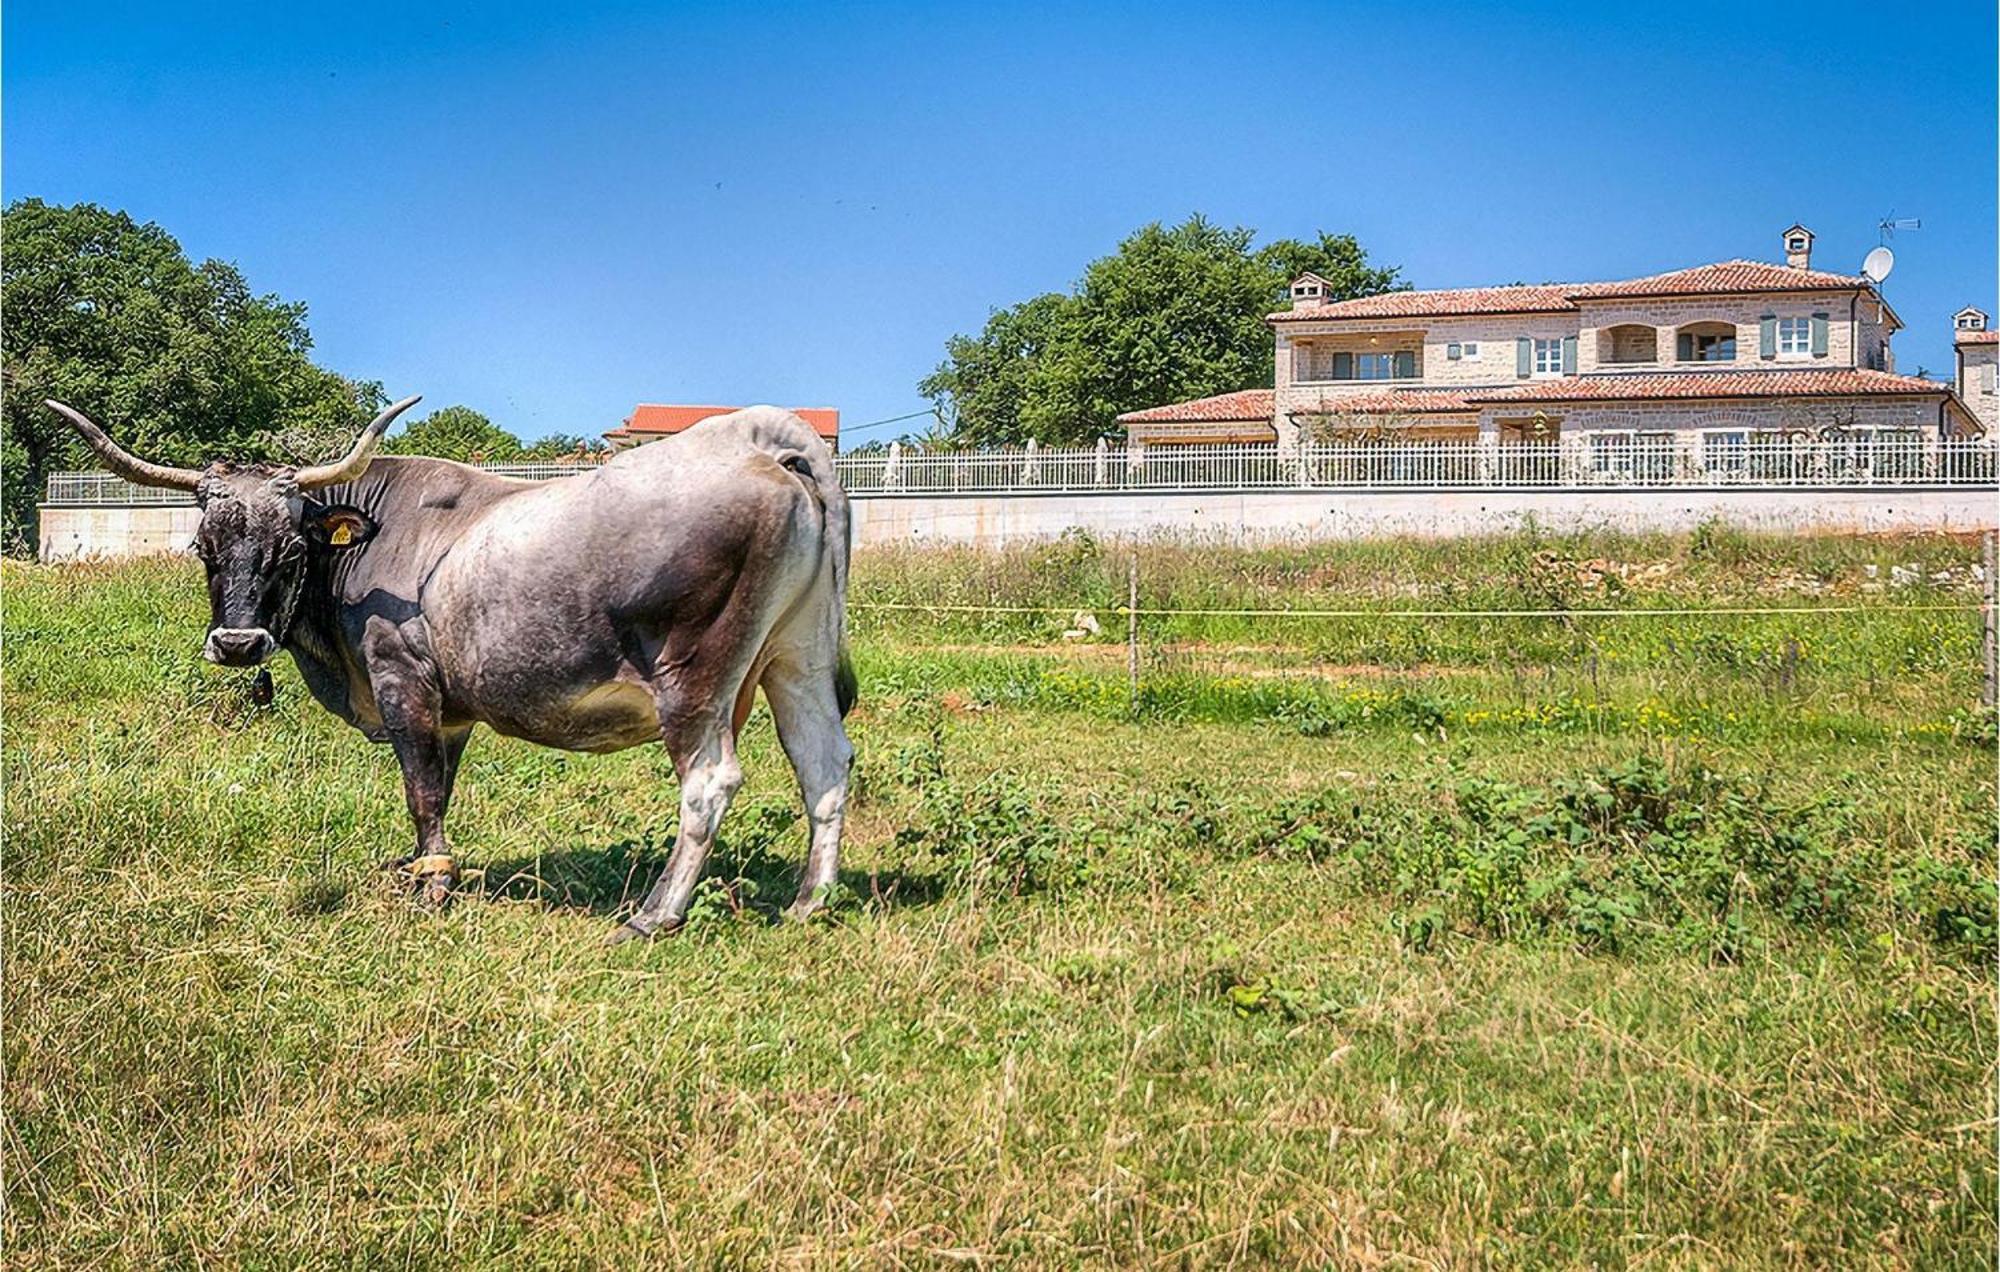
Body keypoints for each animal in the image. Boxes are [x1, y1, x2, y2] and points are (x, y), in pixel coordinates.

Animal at [48, 400, 852, 944]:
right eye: (206, 549)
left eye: (290, 550)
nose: (240, 643)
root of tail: (758, 440)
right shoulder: (452, 710)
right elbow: (440, 790)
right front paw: (423, 868)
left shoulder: (402, 683)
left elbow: (422, 791)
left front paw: (431, 890)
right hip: (797, 659)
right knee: (824, 764)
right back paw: (809, 901)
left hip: (693, 680)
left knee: (709, 783)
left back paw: (653, 915)